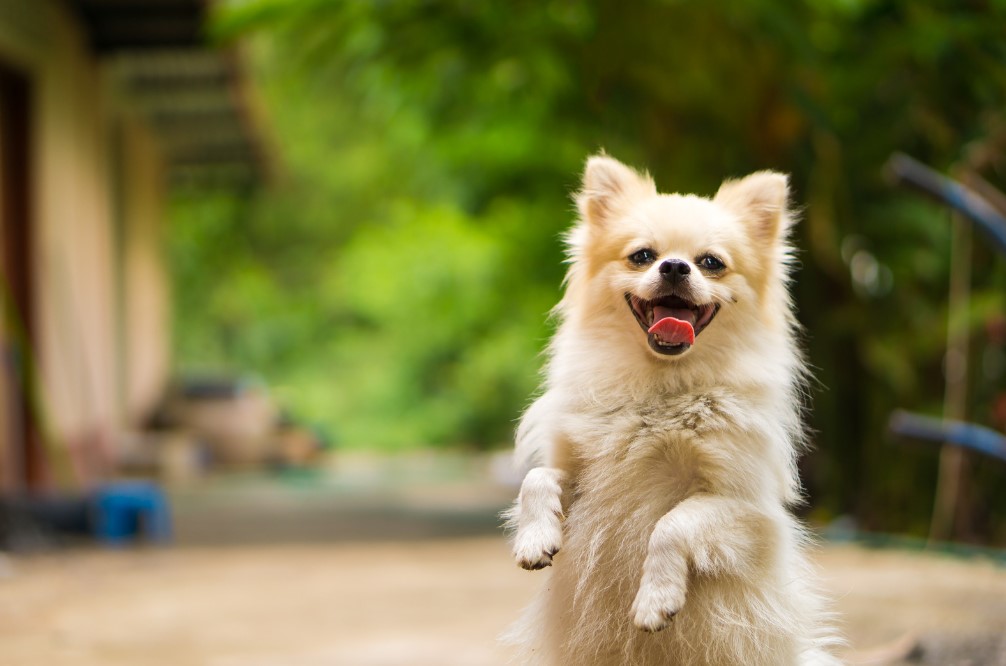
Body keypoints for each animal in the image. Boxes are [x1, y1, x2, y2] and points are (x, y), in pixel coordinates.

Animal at [503, 154, 841, 666]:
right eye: (642, 256)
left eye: (711, 263)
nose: (676, 266)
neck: (662, 388)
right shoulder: (583, 477)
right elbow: (537, 478)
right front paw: (534, 538)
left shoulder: (744, 509)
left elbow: (671, 524)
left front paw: (655, 601)